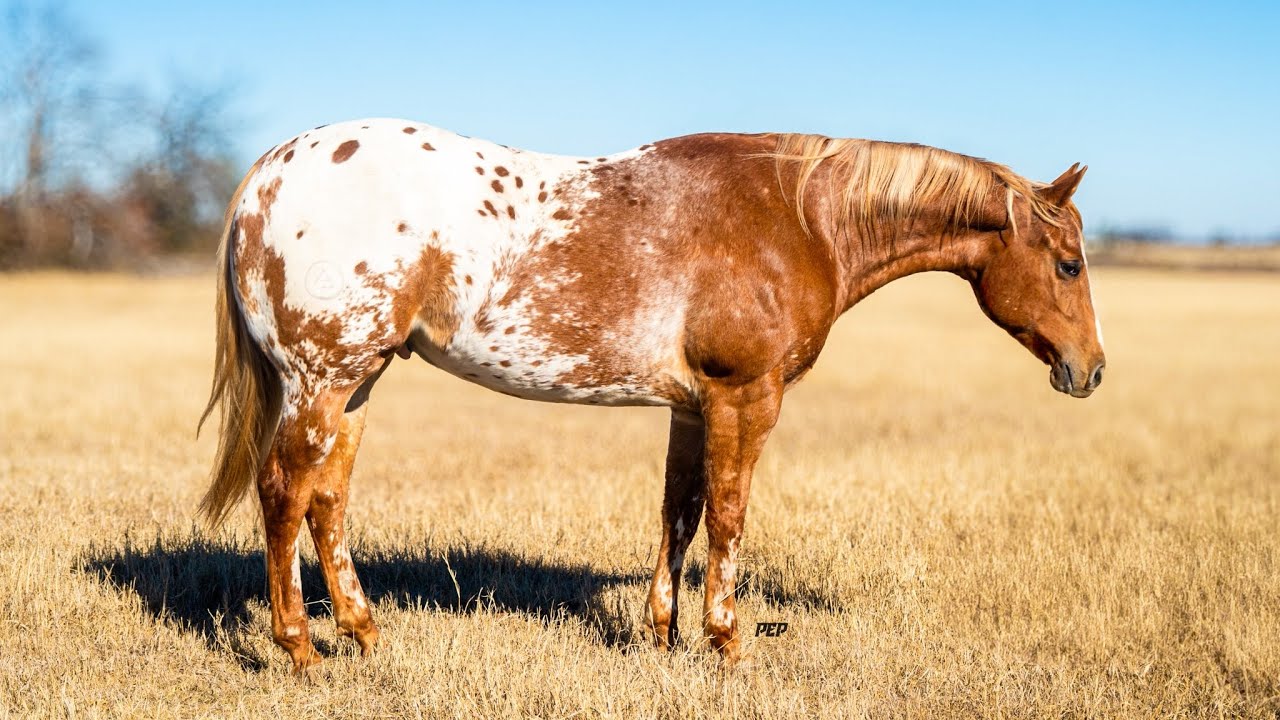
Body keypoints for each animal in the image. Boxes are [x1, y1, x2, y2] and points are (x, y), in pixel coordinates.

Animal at [198, 118, 1105, 672]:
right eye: (1068, 264)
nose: (1090, 369)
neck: (800, 219)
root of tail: (268, 174)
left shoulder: (692, 405)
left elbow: (680, 512)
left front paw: (661, 636)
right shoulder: (746, 397)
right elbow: (730, 515)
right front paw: (726, 642)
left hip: (356, 383)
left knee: (327, 502)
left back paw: (364, 632)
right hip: (322, 381)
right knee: (284, 495)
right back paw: (299, 647)